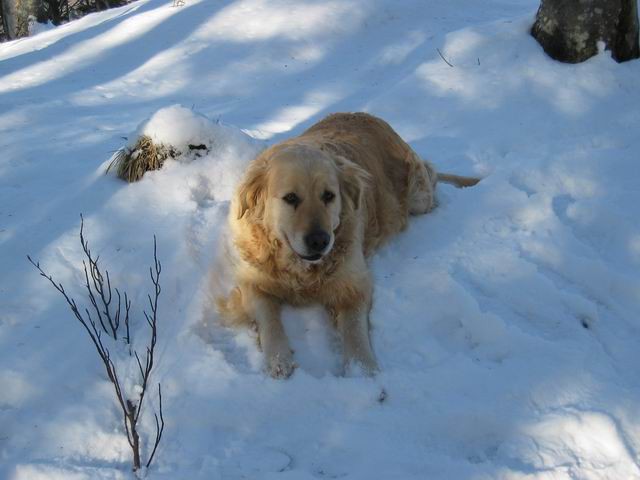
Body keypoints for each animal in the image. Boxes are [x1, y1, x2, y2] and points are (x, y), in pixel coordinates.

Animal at [218, 113, 478, 378]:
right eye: (290, 198)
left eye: (328, 196)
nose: (319, 240)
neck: (300, 269)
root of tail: (372, 117)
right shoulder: (252, 282)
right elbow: (269, 319)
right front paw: (279, 360)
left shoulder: (353, 284)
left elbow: (353, 328)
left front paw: (362, 369)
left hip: (419, 198)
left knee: (431, 176)